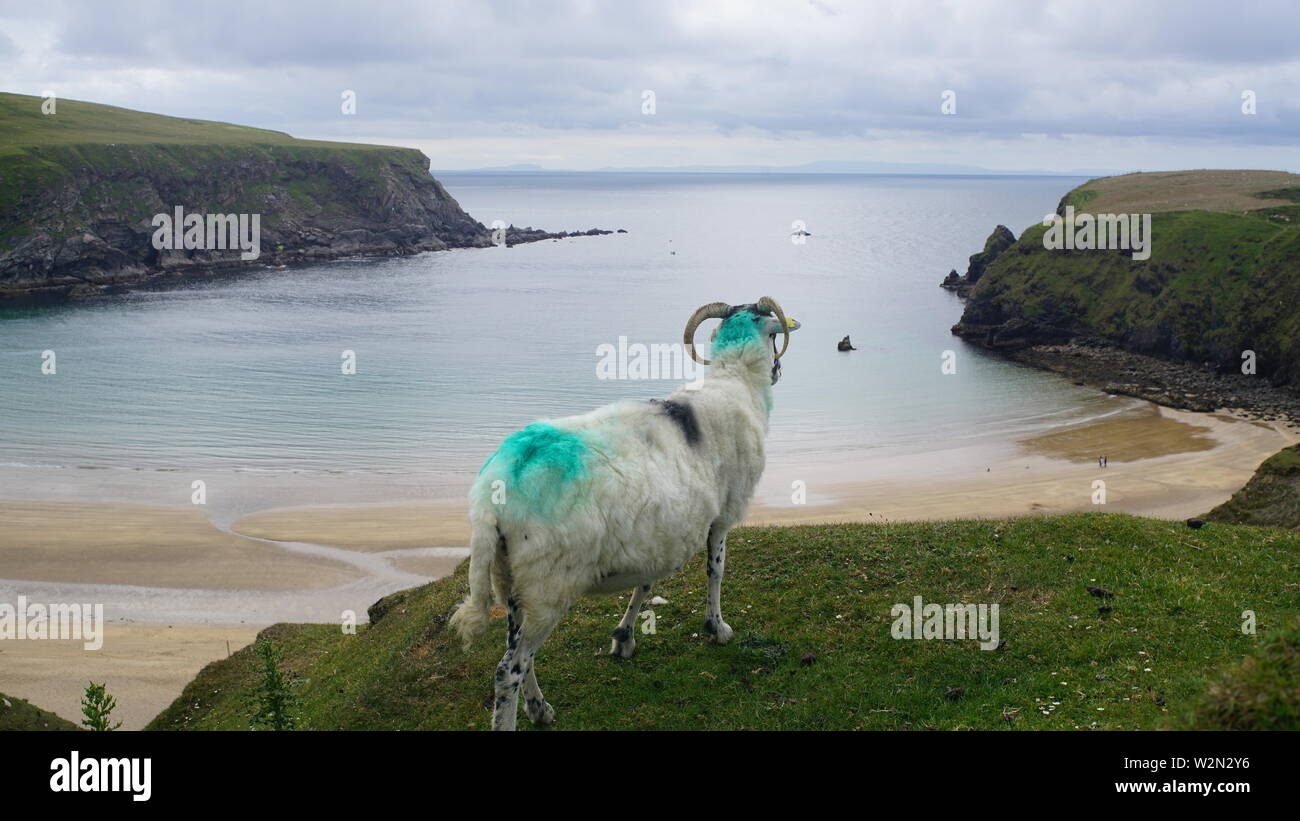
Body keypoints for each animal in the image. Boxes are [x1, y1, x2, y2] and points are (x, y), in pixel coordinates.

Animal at [449, 296, 800, 732]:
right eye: (774, 338)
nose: (778, 371)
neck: (736, 383)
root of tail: (490, 495)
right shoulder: (723, 515)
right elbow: (716, 571)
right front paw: (717, 628)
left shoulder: (656, 534)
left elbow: (645, 583)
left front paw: (624, 637)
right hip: (547, 584)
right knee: (507, 669)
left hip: (513, 579)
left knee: (520, 655)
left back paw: (539, 707)